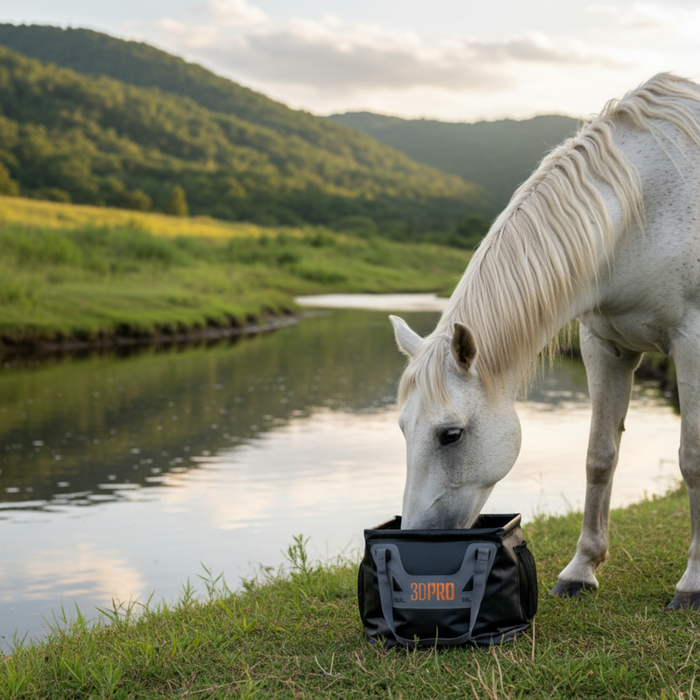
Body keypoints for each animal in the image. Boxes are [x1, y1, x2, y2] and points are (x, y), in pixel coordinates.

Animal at [390, 73, 700, 610]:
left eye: (450, 435)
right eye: (404, 429)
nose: (419, 541)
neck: (645, 209)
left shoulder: (692, 341)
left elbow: (692, 459)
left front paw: (694, 582)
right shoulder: (604, 346)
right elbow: (600, 456)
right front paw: (581, 570)